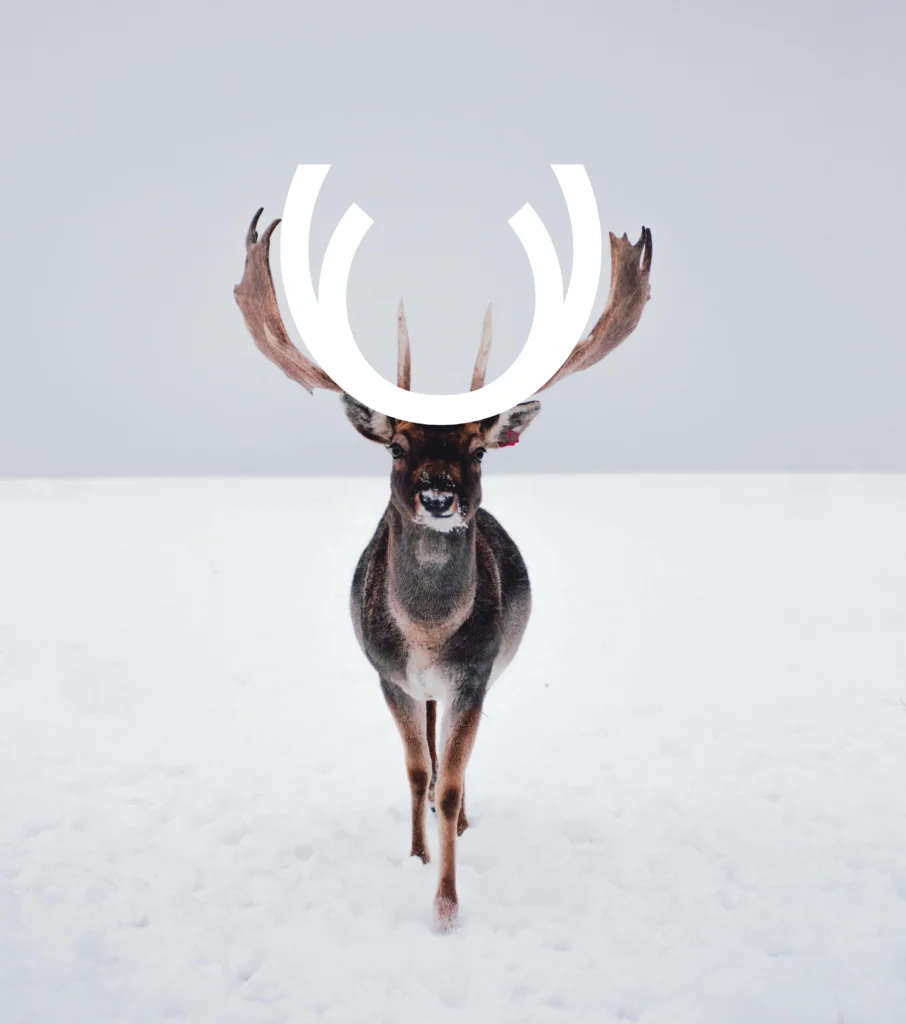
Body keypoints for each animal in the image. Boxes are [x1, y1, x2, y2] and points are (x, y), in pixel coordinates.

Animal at [234, 209, 653, 930]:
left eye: (478, 448)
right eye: (397, 445)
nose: (438, 496)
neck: (428, 635)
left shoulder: (473, 676)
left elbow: (452, 781)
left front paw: (447, 904)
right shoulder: (389, 675)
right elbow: (415, 770)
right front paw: (417, 858)